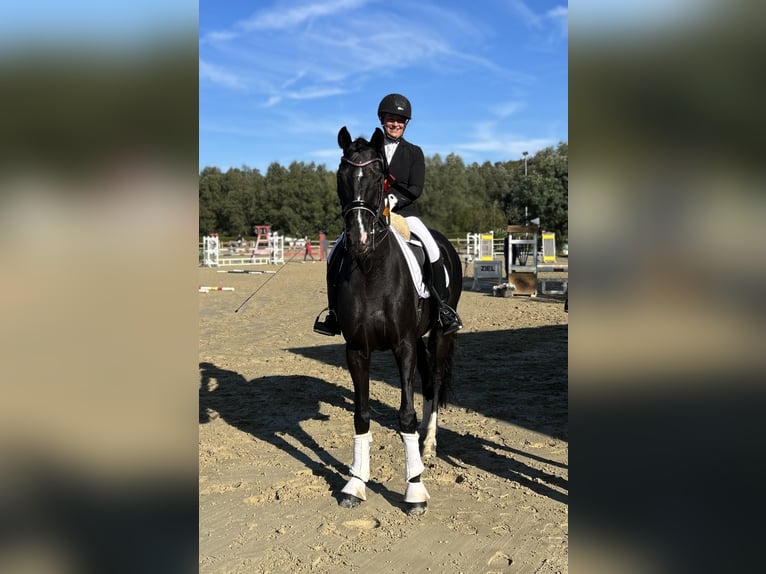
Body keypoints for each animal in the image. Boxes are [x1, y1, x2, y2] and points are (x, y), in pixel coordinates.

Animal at [330, 126, 462, 515]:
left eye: (378, 177)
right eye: (341, 176)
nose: (358, 239)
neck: (370, 269)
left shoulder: (402, 346)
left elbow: (405, 414)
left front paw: (414, 488)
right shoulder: (357, 349)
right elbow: (361, 415)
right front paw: (355, 483)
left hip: (439, 333)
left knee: (435, 379)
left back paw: (428, 445)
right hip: (418, 338)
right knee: (427, 380)